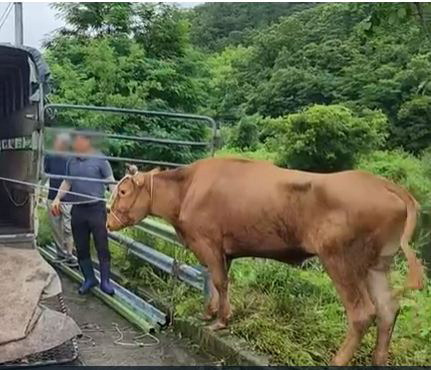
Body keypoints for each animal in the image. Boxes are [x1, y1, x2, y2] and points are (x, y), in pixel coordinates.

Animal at [106, 158, 424, 366]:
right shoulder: (223, 251)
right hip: (377, 264)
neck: (186, 190)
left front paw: (221, 321)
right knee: (388, 309)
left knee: (362, 312)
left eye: (122, 191)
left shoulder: (208, 242)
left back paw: (338, 360)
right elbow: (217, 281)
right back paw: (378, 359)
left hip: (340, 258)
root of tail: (384, 184)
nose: (108, 221)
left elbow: (219, 280)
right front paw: (210, 313)